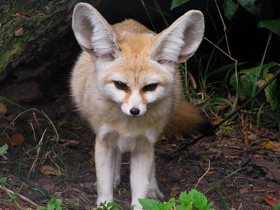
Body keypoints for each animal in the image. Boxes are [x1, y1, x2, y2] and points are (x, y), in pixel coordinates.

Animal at [70, 2, 212, 209]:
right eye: (120, 85)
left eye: (150, 87)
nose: (134, 111)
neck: (128, 127)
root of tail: (131, 22)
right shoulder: (103, 139)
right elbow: (105, 188)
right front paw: (106, 195)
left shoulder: (144, 144)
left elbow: (140, 190)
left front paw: (146, 195)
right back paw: (116, 176)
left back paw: (152, 189)